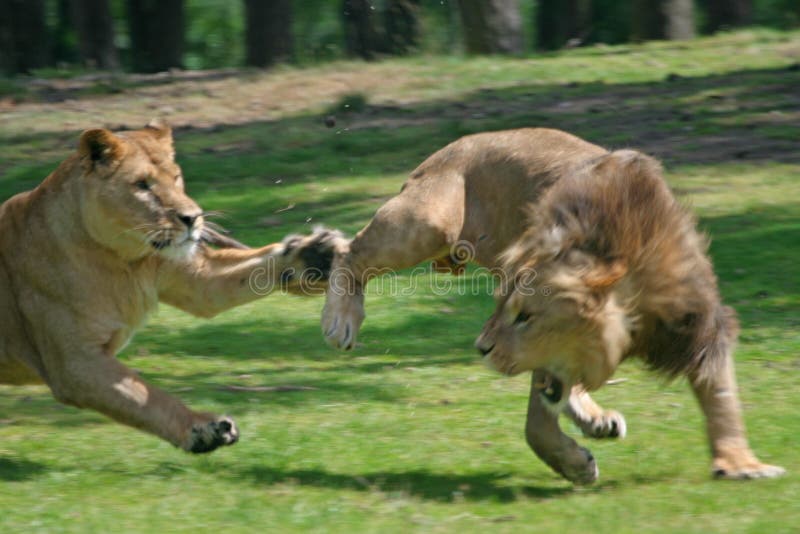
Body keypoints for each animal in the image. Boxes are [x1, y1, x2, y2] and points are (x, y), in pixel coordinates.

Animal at [0, 122, 336, 456]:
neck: (124, 261)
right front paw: (203, 430)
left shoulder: (195, 278)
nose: (193, 218)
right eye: (142, 185)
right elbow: (143, 395)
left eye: (175, 177)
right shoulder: (74, 363)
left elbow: (244, 272)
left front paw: (313, 254)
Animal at [478, 148, 784, 486]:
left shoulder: (700, 322)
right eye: (499, 307)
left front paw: (740, 463)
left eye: (525, 316)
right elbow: (538, 426)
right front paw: (575, 464)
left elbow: (721, 395)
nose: (481, 348)